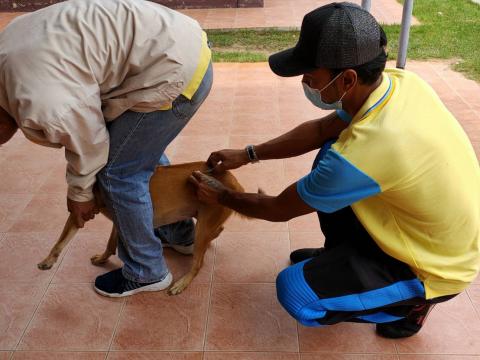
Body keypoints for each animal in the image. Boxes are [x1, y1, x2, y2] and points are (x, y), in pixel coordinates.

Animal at [38, 162, 244, 294]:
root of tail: (235, 184)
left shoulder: (83, 215)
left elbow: (60, 241)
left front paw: (48, 260)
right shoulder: (121, 218)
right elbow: (110, 243)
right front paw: (103, 258)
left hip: (203, 226)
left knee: (198, 264)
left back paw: (182, 283)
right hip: (203, 220)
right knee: (216, 232)